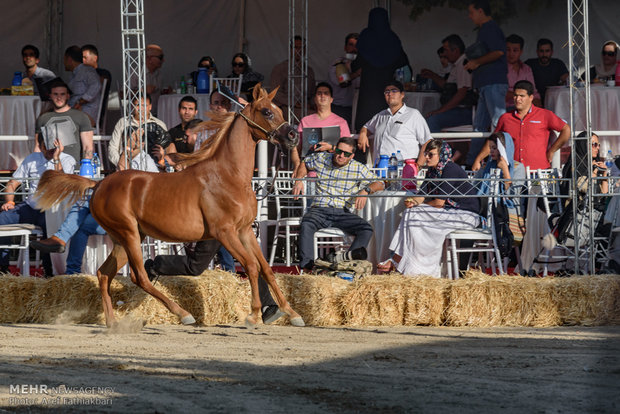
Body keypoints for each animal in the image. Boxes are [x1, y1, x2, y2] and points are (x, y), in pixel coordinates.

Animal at [34, 85, 306, 328]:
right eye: (267, 112)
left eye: (279, 110)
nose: (293, 136)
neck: (229, 175)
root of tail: (99, 183)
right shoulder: (225, 233)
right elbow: (250, 266)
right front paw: (254, 315)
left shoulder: (245, 230)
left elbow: (265, 269)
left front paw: (290, 313)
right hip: (129, 234)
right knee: (139, 276)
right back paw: (183, 313)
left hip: (124, 239)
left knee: (104, 274)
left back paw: (112, 322)